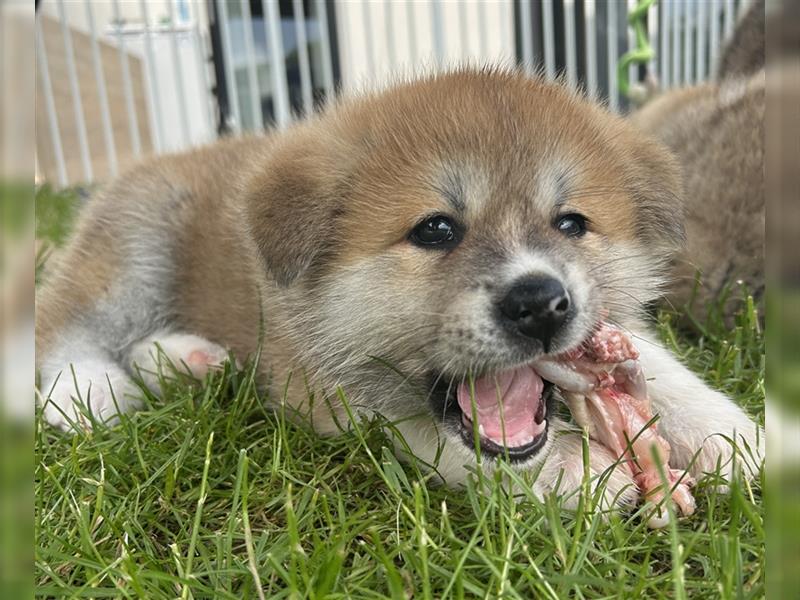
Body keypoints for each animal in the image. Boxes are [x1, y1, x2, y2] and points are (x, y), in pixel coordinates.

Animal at [37, 70, 764, 510]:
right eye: (436, 230)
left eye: (570, 223)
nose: (540, 304)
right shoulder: (324, 395)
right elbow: (422, 432)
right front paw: (570, 470)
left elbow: (663, 372)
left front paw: (737, 435)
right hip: (137, 243)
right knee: (60, 327)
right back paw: (90, 393)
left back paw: (189, 361)